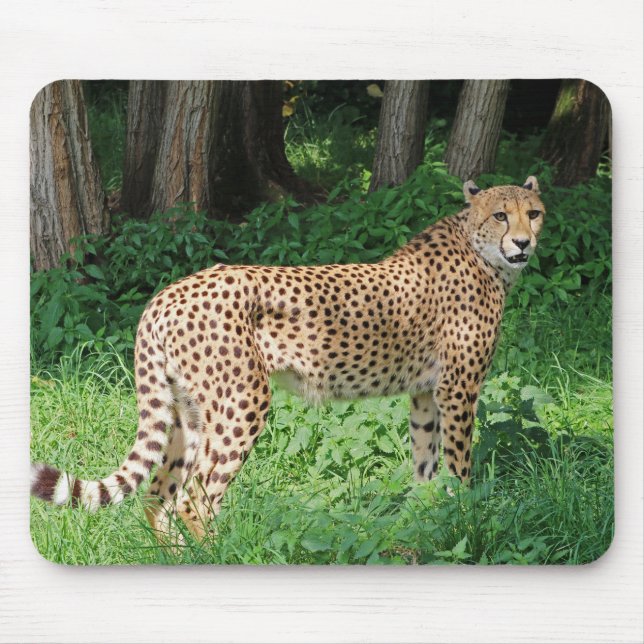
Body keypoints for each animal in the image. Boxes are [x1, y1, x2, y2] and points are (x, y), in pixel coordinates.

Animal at [31, 175, 545, 540]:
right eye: (501, 215)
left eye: (534, 214)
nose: (524, 243)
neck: (482, 253)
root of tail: (168, 292)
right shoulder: (458, 389)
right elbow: (459, 467)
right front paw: (466, 516)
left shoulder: (424, 393)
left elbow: (425, 464)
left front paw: (427, 520)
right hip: (242, 400)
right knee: (196, 498)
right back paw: (218, 556)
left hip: (187, 411)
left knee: (160, 495)